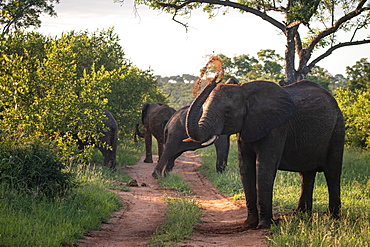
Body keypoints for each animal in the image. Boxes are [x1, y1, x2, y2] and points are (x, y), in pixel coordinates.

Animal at [186, 79, 346, 230]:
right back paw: (300, 215)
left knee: (332, 172)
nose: (214, 78)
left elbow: (264, 168)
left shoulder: (277, 128)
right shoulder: (245, 129)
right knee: (306, 174)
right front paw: (249, 224)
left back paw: (333, 217)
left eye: (227, 111)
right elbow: (245, 168)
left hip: (337, 129)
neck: (245, 91)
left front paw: (264, 225)